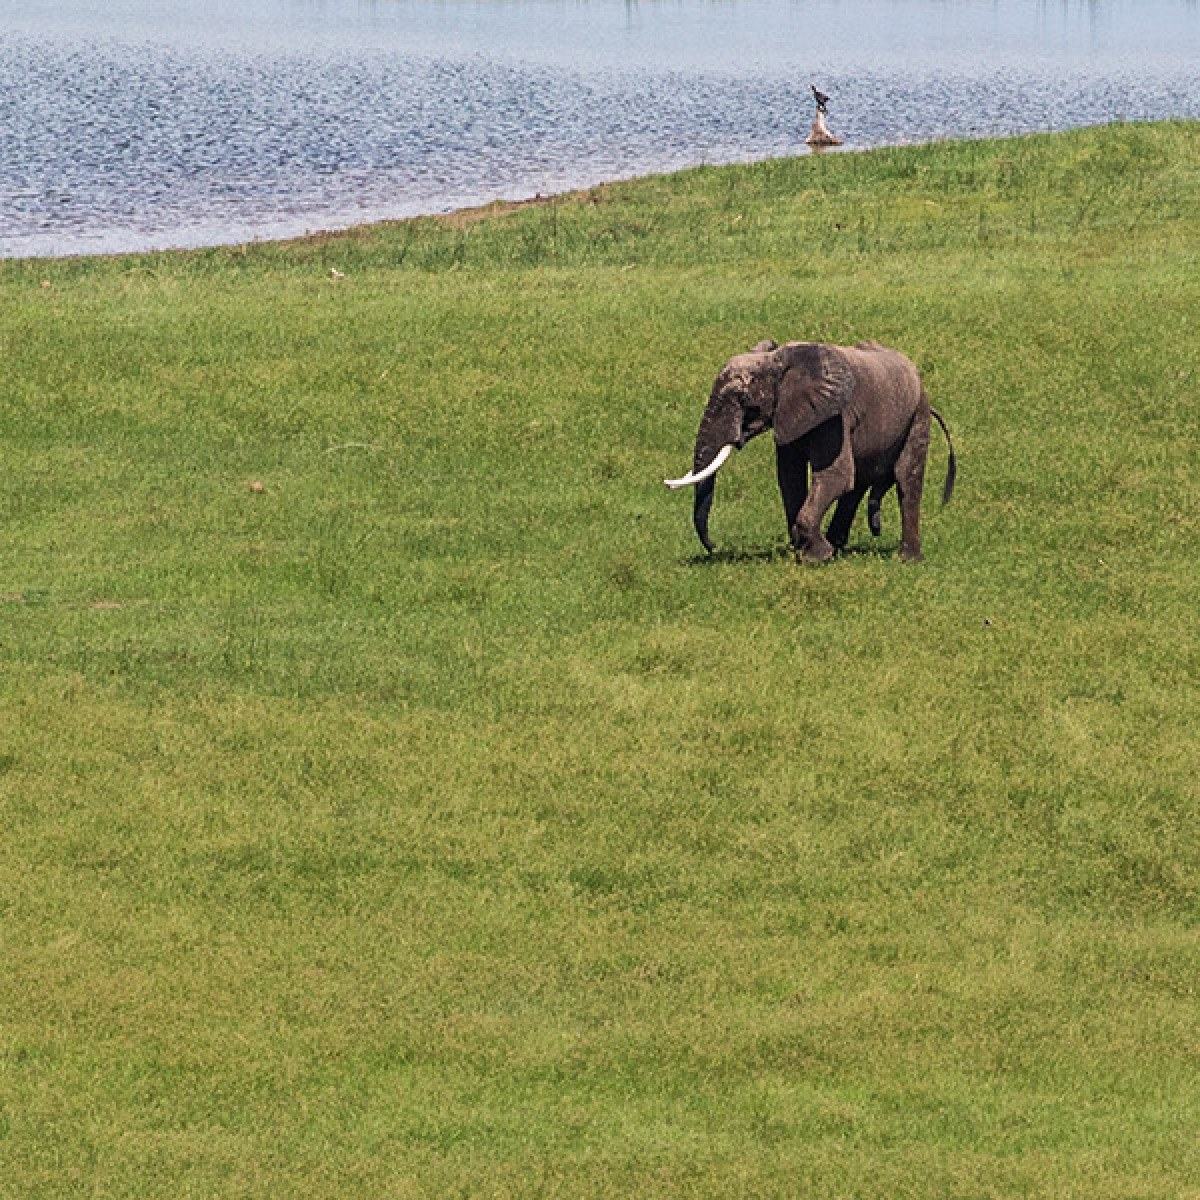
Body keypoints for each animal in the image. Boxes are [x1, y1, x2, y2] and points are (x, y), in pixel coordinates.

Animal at [665, 339, 956, 561]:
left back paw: (907, 559)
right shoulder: (789, 415)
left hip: (917, 414)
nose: (715, 546)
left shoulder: (836, 416)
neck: (781, 360)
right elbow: (790, 478)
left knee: (907, 481)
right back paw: (838, 546)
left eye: (744, 400)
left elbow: (834, 476)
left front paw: (814, 558)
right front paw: (805, 550)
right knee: (858, 483)